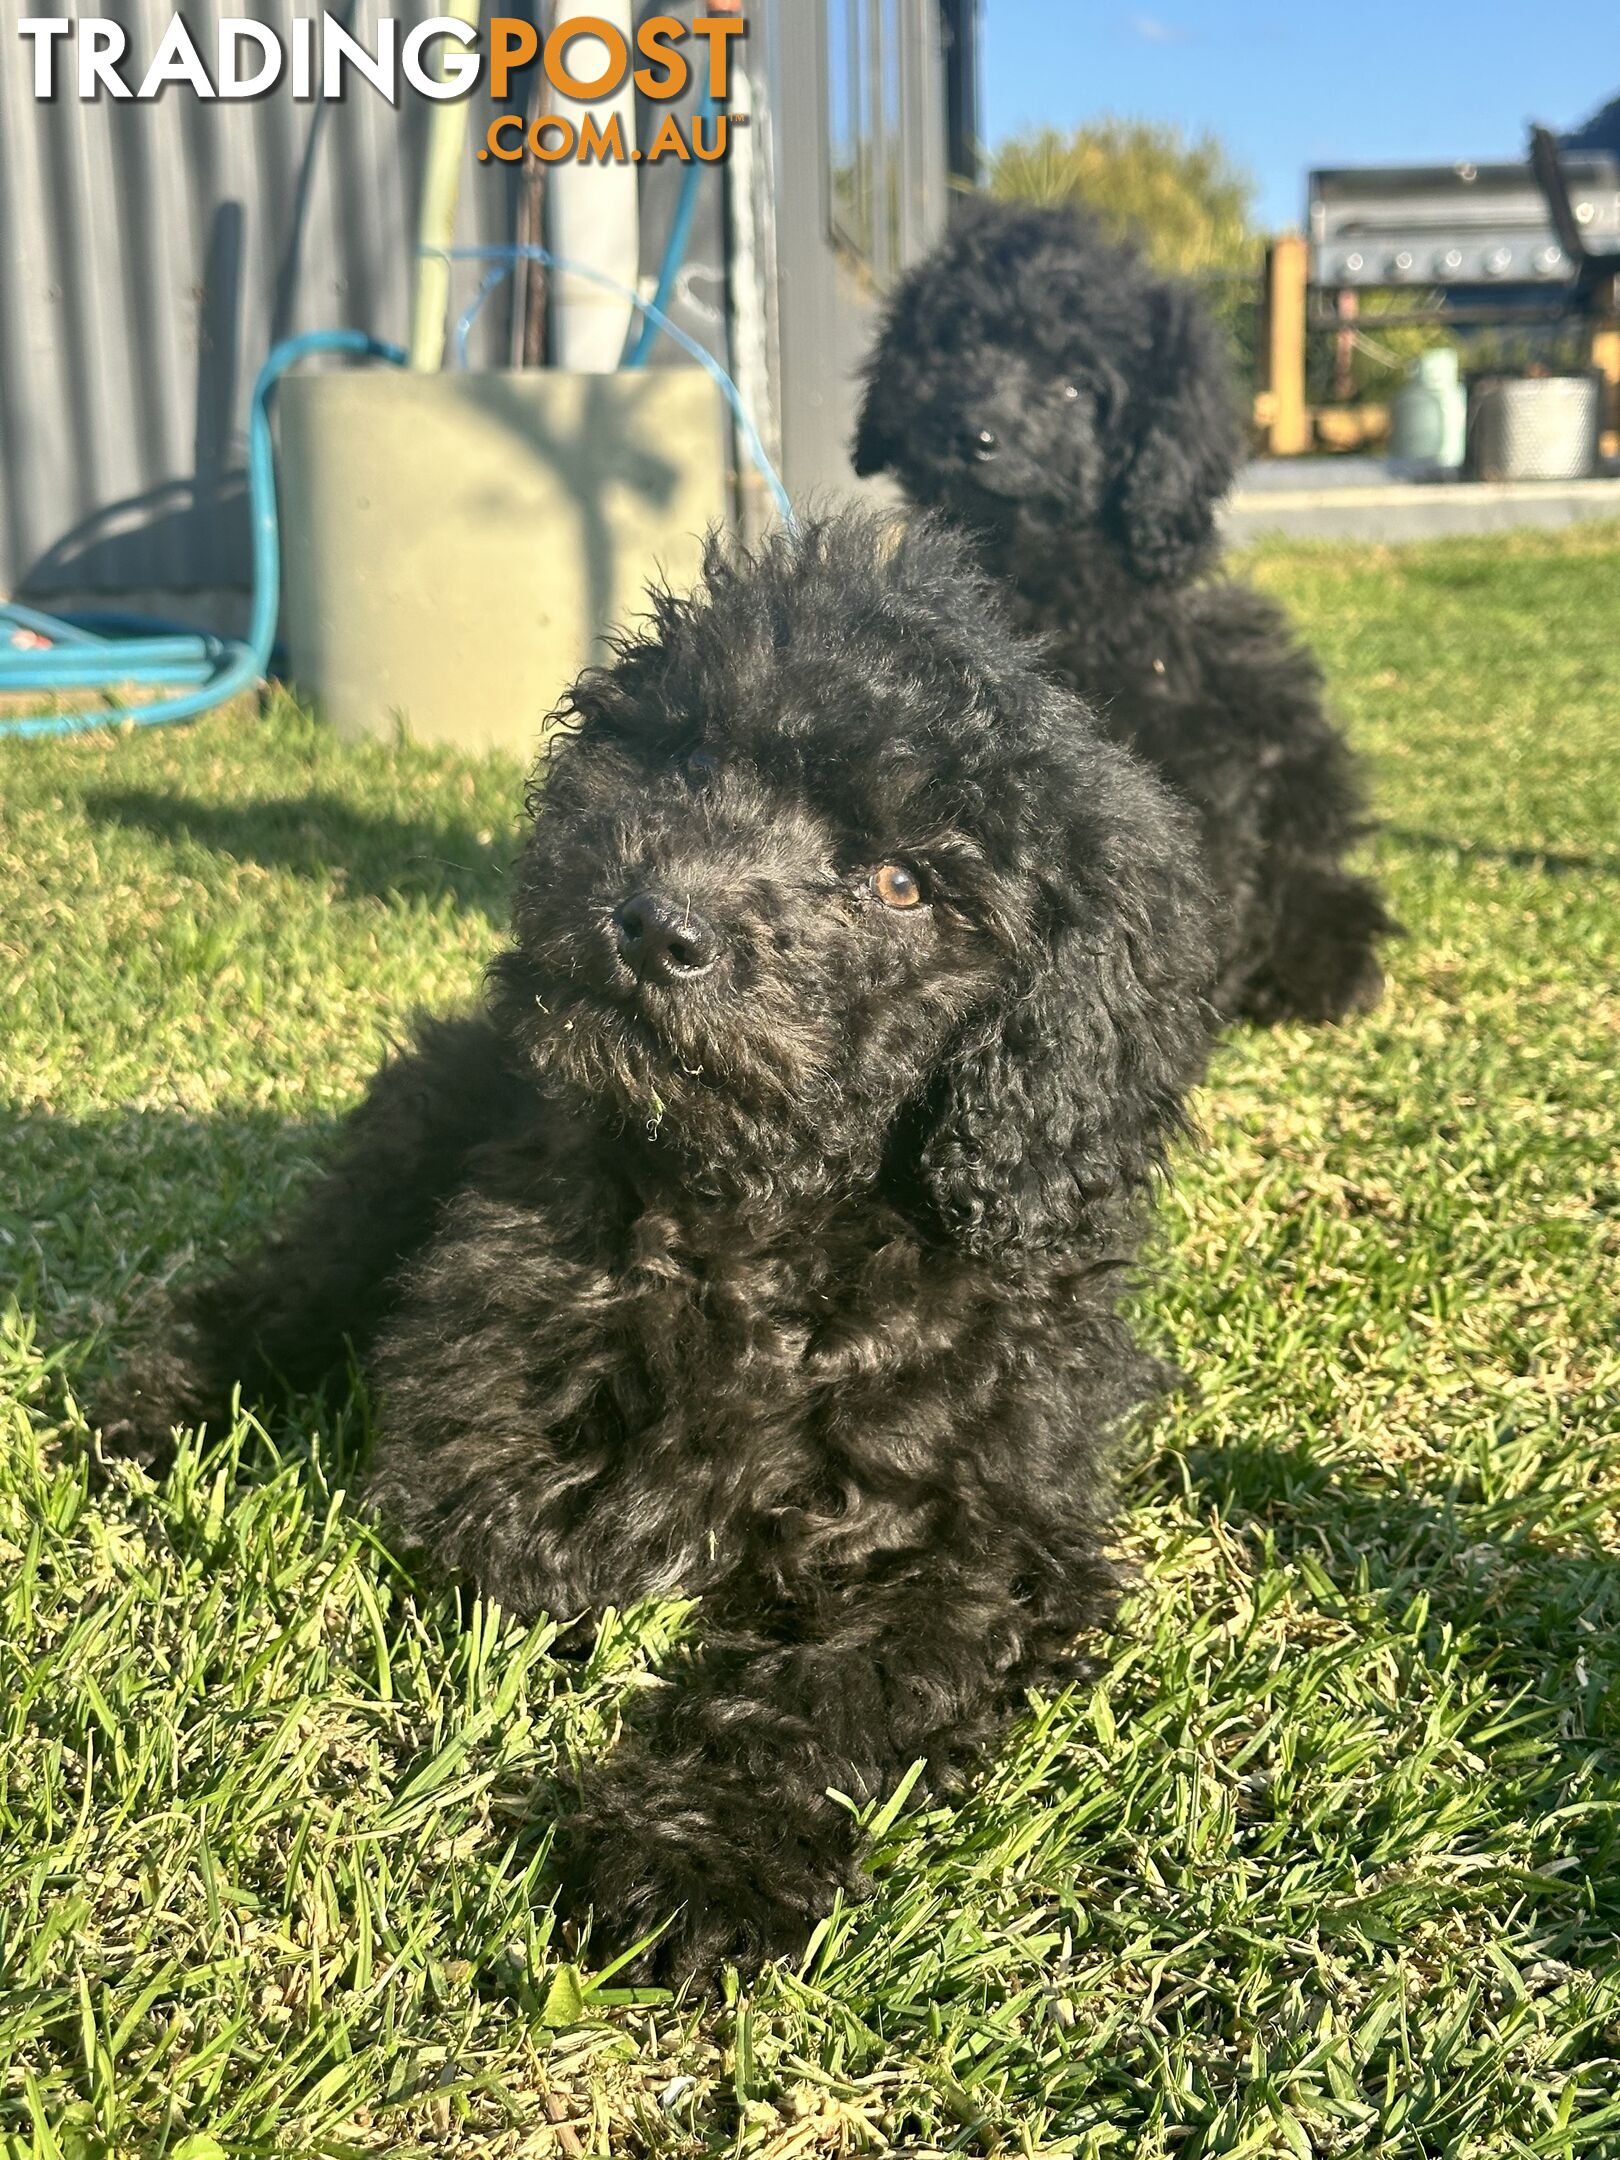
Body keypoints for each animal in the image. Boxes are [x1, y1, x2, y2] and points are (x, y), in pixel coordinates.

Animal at [98, 514, 1218, 1978]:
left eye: (905, 883)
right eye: (690, 759)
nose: (653, 924)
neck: (762, 1213)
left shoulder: (989, 1531)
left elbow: (839, 1683)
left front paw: (700, 1860)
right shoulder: (491, 1359)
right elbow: (533, 1530)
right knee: (279, 1292)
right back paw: (153, 1412)